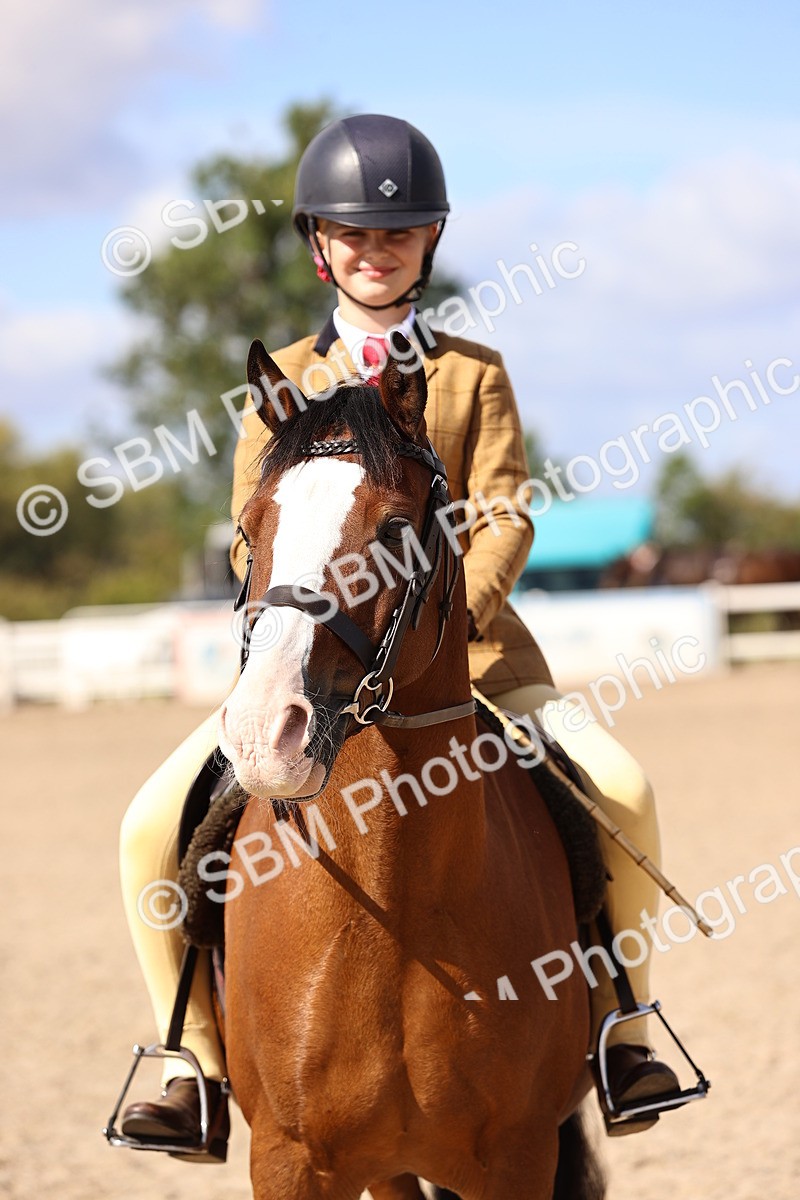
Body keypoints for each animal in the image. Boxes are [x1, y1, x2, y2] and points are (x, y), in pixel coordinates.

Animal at [217, 337, 604, 1200]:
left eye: (396, 529)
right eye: (248, 532)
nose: (262, 734)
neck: (390, 904)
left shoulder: (518, 1158)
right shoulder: (289, 1158)